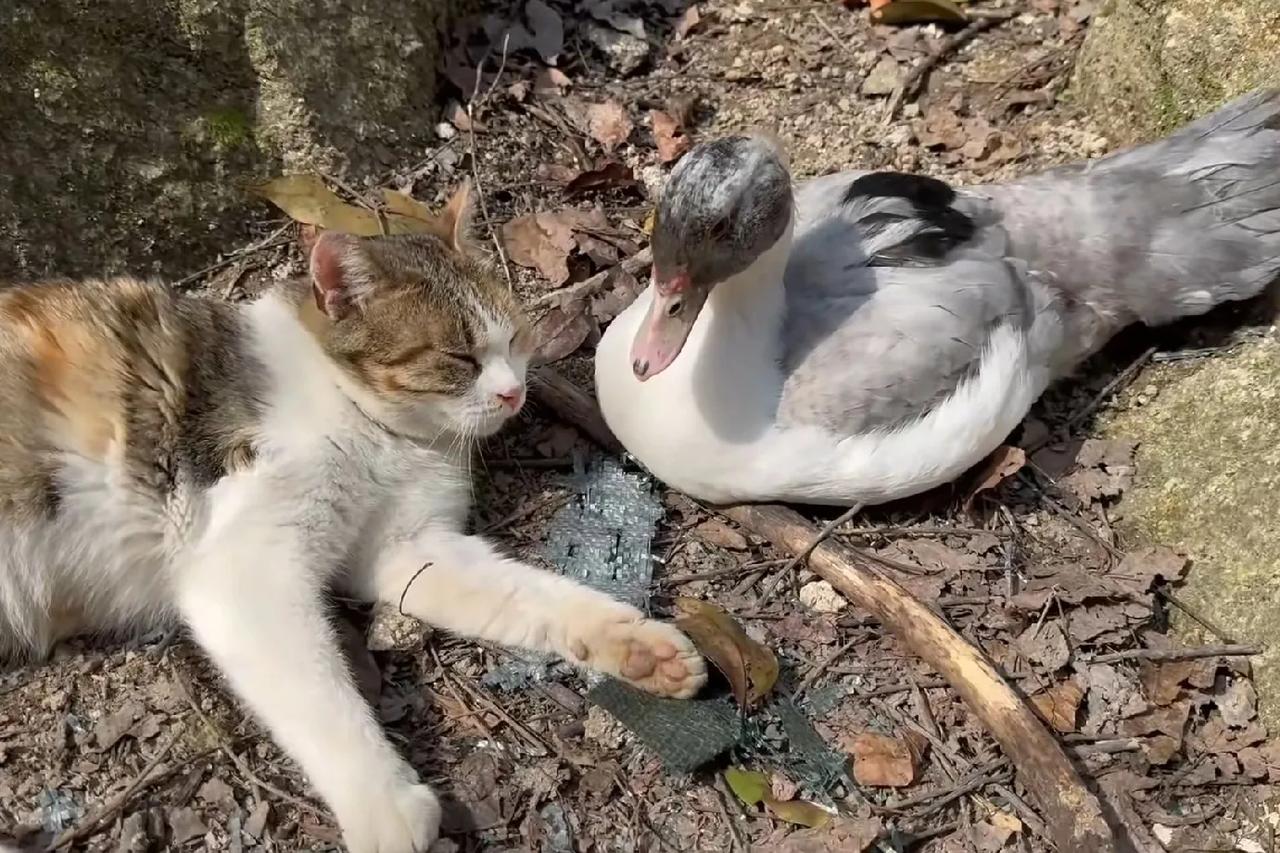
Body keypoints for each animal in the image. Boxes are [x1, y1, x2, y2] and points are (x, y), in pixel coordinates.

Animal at [0, 185, 706, 850]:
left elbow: (528, 596)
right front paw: (383, 802)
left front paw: (635, 646)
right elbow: (319, 695)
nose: (514, 392)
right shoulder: (243, 570)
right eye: (458, 358)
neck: (377, 428)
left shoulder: (407, 548)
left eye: (515, 339)